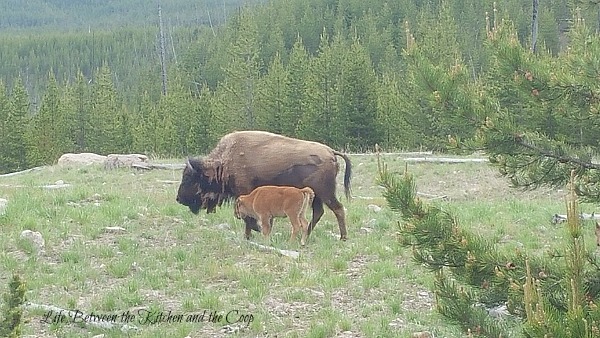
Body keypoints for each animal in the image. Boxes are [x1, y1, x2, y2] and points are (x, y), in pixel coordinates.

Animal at [175, 131, 352, 240]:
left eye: (189, 178)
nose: (178, 198)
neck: (224, 162)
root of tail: (331, 152)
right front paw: (249, 235)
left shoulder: (245, 193)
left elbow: (248, 217)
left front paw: (255, 231)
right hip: (316, 196)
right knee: (319, 212)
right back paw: (307, 234)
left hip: (326, 193)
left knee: (337, 209)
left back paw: (343, 237)